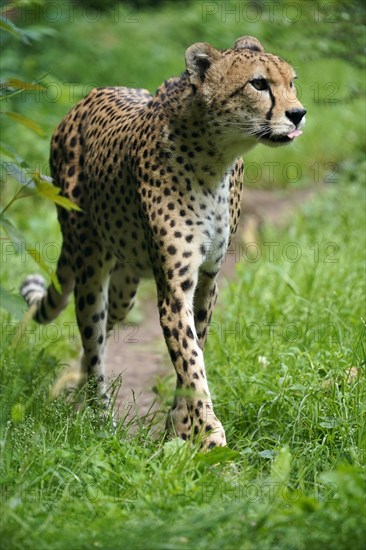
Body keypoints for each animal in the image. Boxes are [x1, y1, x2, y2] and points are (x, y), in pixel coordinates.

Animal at [20, 36, 306, 450]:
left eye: (291, 82)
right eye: (258, 84)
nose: (298, 113)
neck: (216, 158)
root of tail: (81, 103)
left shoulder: (208, 280)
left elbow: (194, 351)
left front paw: (182, 430)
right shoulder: (175, 287)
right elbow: (189, 360)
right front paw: (210, 437)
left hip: (124, 288)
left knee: (101, 333)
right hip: (90, 265)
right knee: (92, 340)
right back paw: (99, 418)